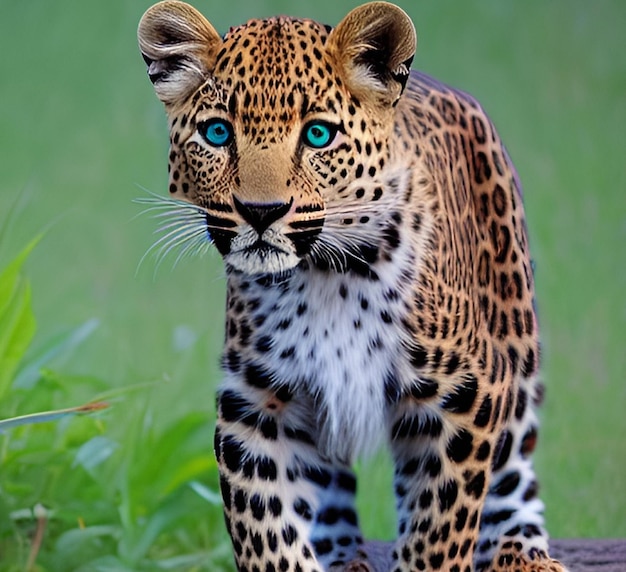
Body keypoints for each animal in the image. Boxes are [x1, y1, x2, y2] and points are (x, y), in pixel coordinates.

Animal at [139, 2, 568, 568]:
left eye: (318, 136)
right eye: (217, 133)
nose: (260, 212)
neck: (327, 276)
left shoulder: (463, 397)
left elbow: (440, 529)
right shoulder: (255, 404)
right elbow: (267, 532)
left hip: (514, 336)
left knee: (515, 464)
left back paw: (523, 552)